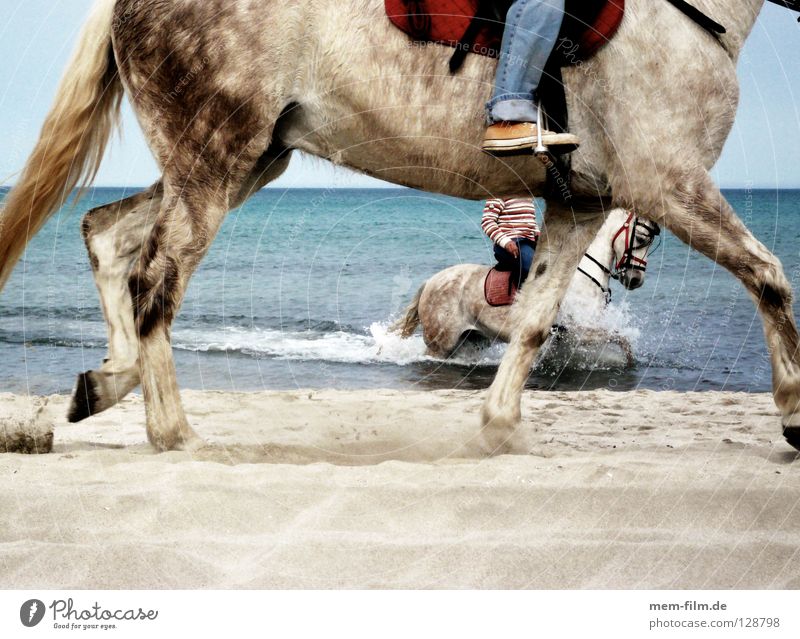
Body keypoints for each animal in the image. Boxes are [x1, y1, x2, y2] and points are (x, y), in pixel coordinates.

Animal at [390, 210, 660, 364]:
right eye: (641, 238)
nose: (635, 279)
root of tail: (430, 282)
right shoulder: (578, 330)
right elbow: (622, 340)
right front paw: (630, 364)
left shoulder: (565, 337)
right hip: (441, 343)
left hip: (472, 339)